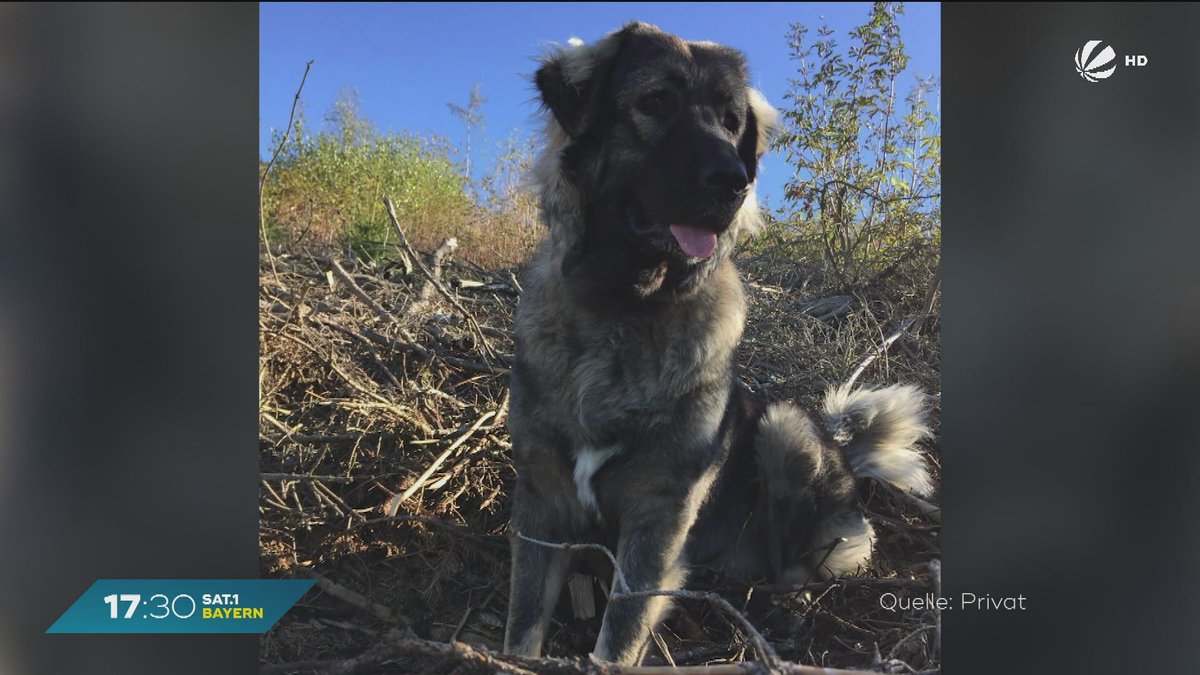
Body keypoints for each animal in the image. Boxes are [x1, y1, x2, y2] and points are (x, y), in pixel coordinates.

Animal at [506, 19, 936, 662]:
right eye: (655, 101)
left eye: (732, 123)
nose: (732, 181)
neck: (624, 311)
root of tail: (844, 454)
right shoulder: (540, 501)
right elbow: (524, 621)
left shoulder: (660, 514)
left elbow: (621, 629)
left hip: (785, 428)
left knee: (790, 567)